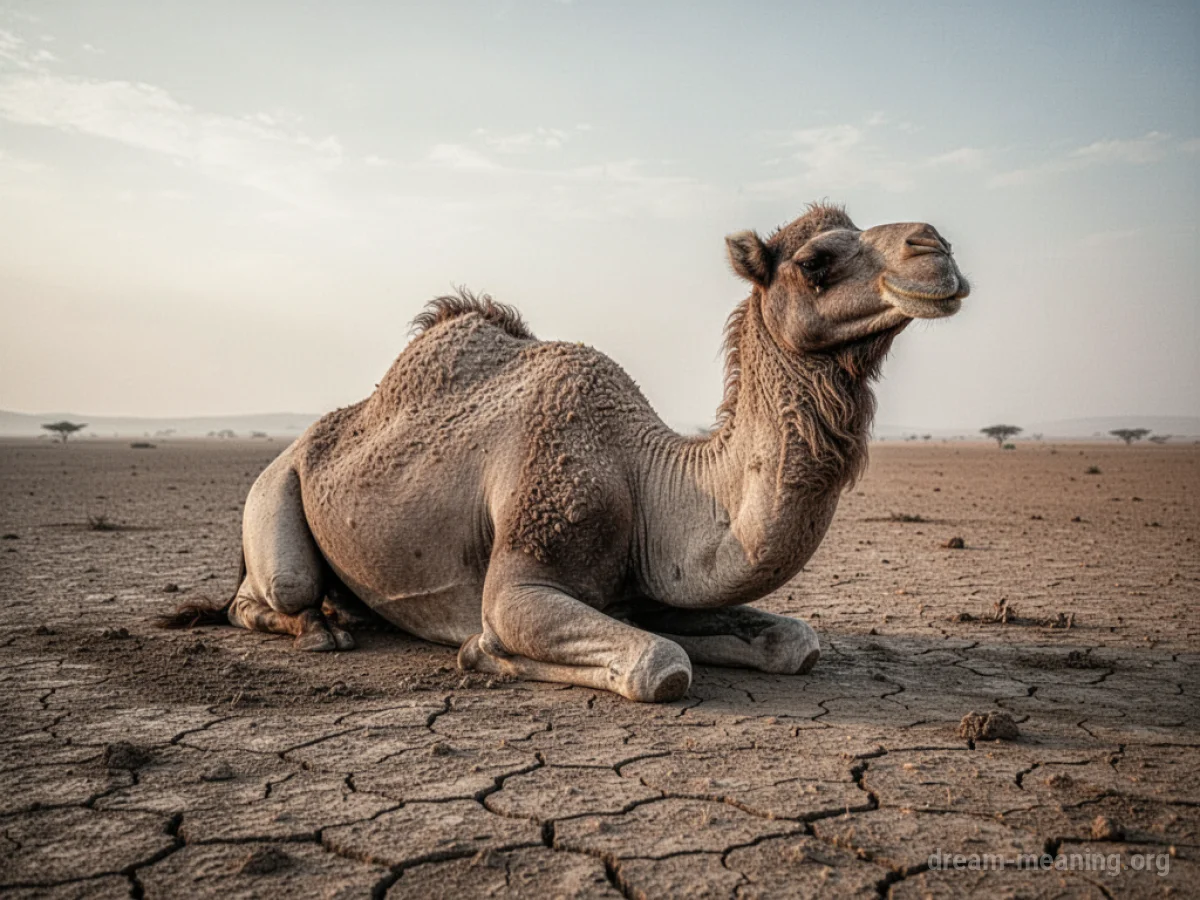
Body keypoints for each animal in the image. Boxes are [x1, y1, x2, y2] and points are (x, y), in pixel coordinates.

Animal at [162, 203, 968, 702]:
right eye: (815, 261)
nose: (936, 247)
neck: (648, 477)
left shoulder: (651, 586)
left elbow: (794, 641)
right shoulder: (523, 569)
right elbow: (658, 663)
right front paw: (485, 651)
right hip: (275, 491)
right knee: (269, 594)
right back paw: (323, 628)